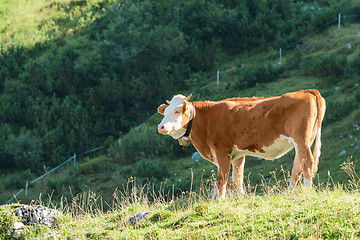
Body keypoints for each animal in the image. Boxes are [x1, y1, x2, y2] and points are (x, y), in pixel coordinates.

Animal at [158, 90, 326, 199]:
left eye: (177, 111)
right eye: (164, 112)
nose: (161, 127)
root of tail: (305, 91)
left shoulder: (222, 151)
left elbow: (222, 178)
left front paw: (221, 201)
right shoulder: (238, 154)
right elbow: (237, 177)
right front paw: (241, 198)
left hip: (301, 139)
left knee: (307, 163)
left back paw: (308, 192)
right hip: (305, 140)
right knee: (298, 166)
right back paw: (290, 193)